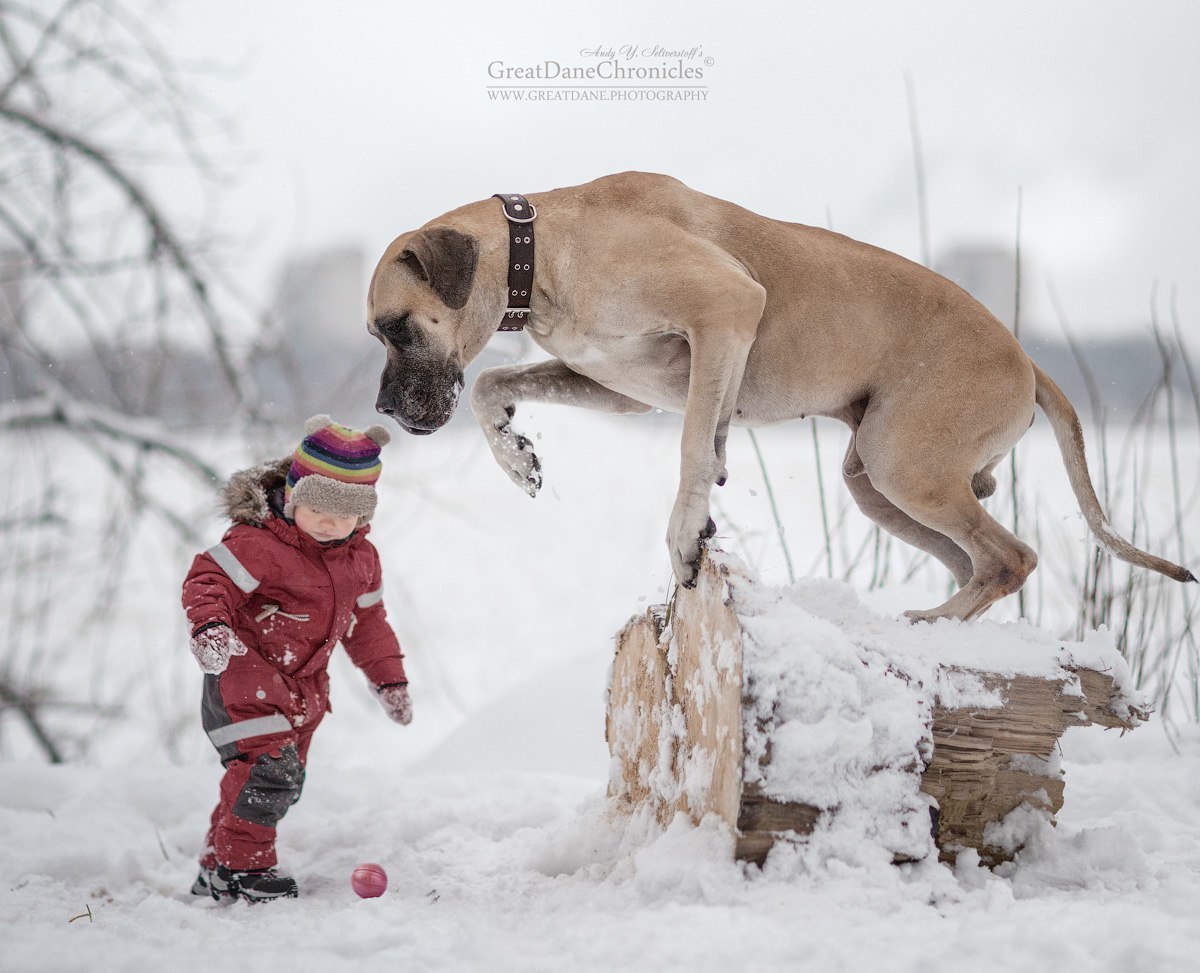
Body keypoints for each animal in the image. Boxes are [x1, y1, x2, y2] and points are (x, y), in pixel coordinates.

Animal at [364, 171, 1190, 619]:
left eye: (396, 326)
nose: (384, 410)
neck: (546, 247)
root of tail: (1027, 357)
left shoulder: (725, 311)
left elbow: (695, 448)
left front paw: (684, 532)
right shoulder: (626, 384)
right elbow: (494, 382)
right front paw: (515, 452)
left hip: (902, 461)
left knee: (1011, 557)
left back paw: (936, 623)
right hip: (879, 480)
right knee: (977, 563)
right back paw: (939, 620)